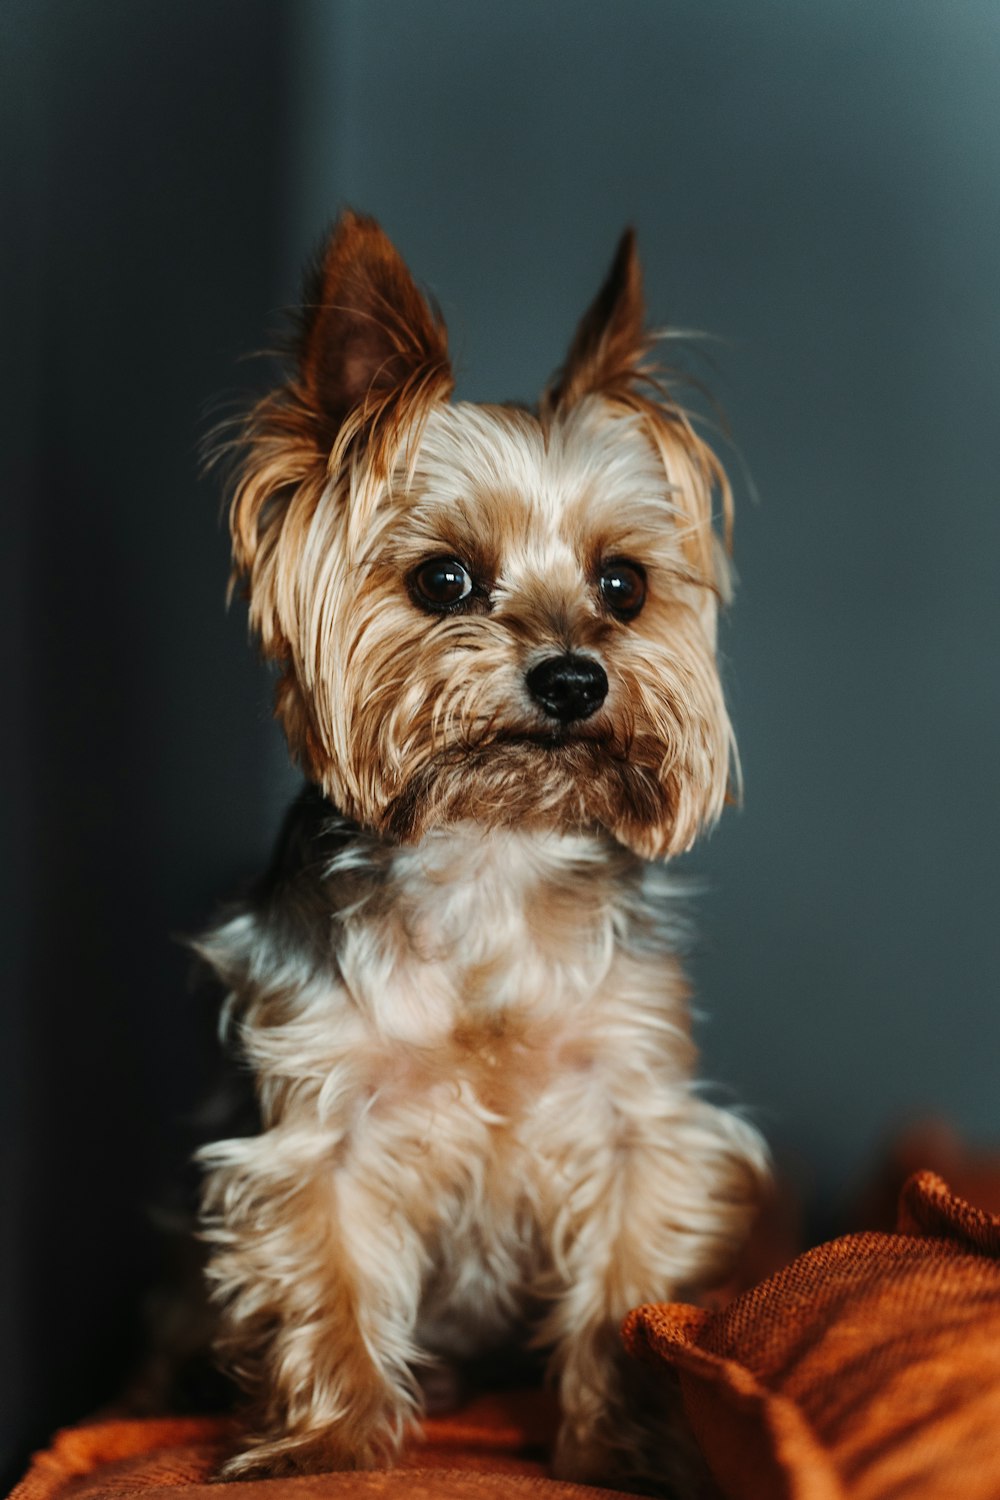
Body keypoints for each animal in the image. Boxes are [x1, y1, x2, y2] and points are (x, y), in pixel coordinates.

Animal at [199, 211, 773, 1488]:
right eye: (443, 578)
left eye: (623, 584)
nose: (572, 679)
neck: (491, 846)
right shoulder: (320, 1115)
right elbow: (326, 1279)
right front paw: (326, 1445)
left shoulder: (635, 1110)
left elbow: (628, 1293)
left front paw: (628, 1442)